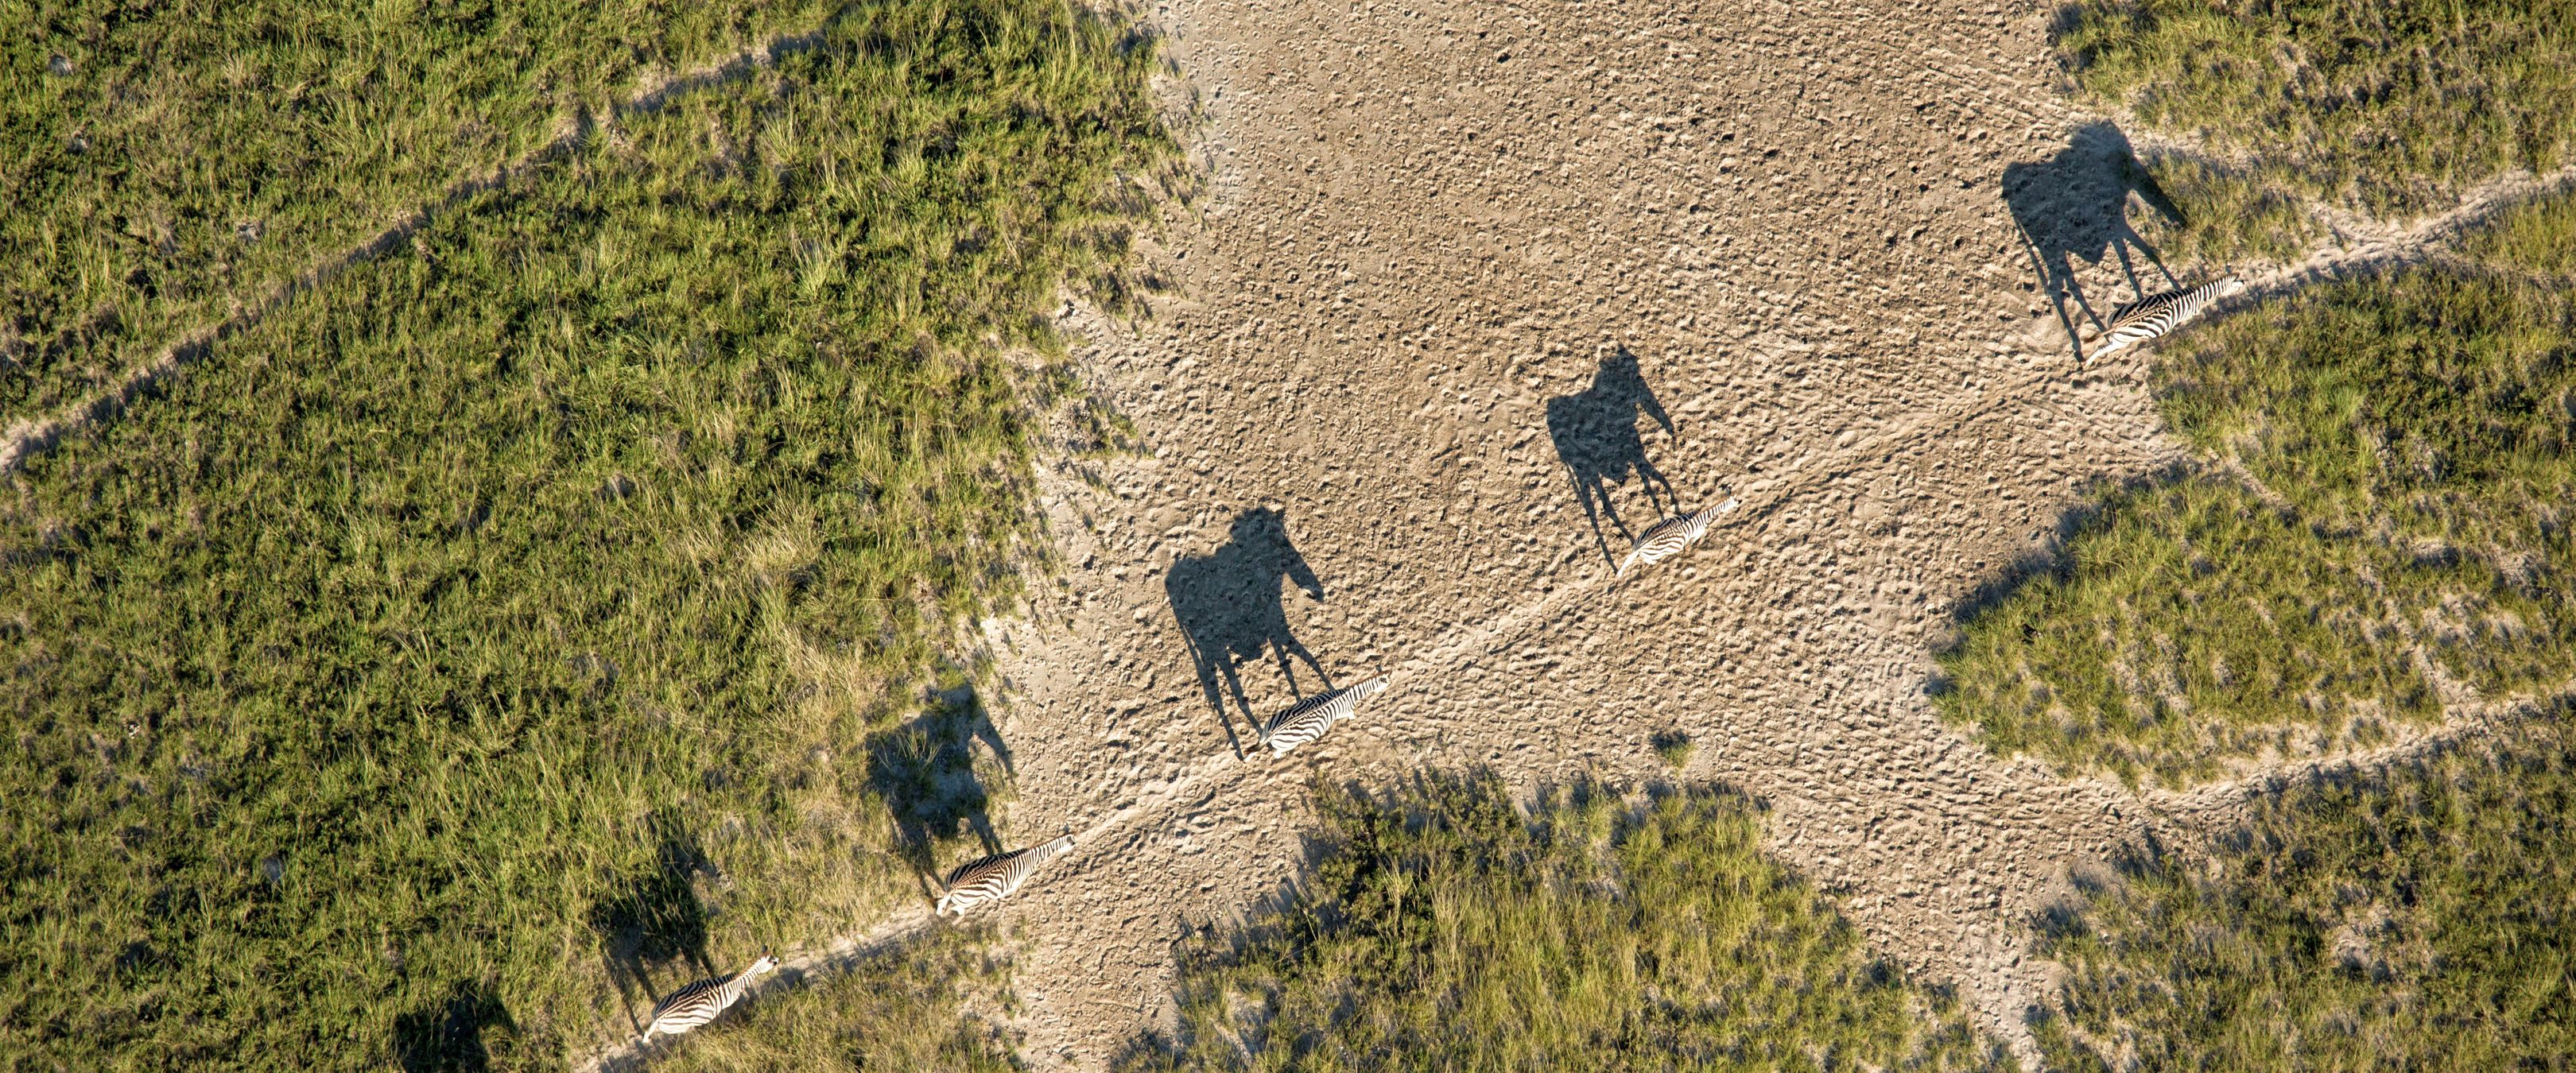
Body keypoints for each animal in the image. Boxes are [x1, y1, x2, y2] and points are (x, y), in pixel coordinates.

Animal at [640, 951, 777, 1044]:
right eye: (773, 962)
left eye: (774, 957)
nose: (779, 959)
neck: (736, 981)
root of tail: (659, 1017)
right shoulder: (729, 1002)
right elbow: (732, 1010)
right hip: (681, 1027)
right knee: (688, 1034)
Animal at [935, 835, 1076, 917]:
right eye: (1073, 846)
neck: (1033, 857)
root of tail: (955, 887)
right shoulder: (1020, 879)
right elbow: (1011, 889)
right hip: (971, 900)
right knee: (956, 907)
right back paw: (960, 915)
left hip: (950, 885)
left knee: (944, 903)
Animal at [1257, 676, 1390, 756]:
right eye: (1387, 685)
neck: (1348, 696)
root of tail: (1272, 734)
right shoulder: (1347, 711)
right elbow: (1353, 717)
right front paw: (1355, 723)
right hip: (1290, 744)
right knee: (1277, 754)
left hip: (1265, 730)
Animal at [1615, 498, 1739, 578]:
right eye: (1733, 503)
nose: (1740, 503)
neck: (1702, 515)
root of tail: (1643, 545)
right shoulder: (1699, 529)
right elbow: (1699, 534)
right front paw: (1692, 543)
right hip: (1657, 553)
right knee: (1646, 559)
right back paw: (1654, 563)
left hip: (1637, 543)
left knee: (1632, 558)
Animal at [2089, 277, 2246, 359]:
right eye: (2237, 288)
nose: (2244, 283)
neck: (2197, 295)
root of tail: (2118, 324)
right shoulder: (2188, 314)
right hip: (2123, 341)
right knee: (2103, 350)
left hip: (2114, 326)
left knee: (2104, 344)